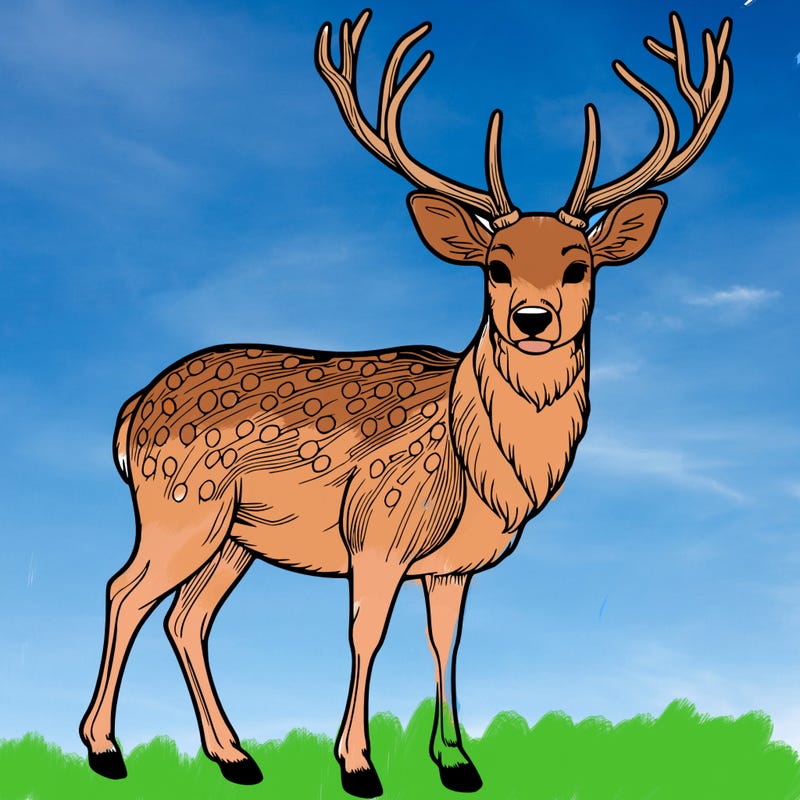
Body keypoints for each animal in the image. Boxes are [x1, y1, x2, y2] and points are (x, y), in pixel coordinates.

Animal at [79, 9, 732, 798]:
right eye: (496, 266)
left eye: (579, 266)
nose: (533, 319)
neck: (480, 468)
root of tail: (130, 410)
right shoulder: (377, 531)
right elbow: (367, 634)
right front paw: (357, 764)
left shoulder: (452, 565)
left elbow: (444, 641)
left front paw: (457, 762)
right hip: (179, 508)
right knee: (124, 592)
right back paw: (104, 748)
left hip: (234, 537)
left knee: (186, 618)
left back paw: (234, 756)